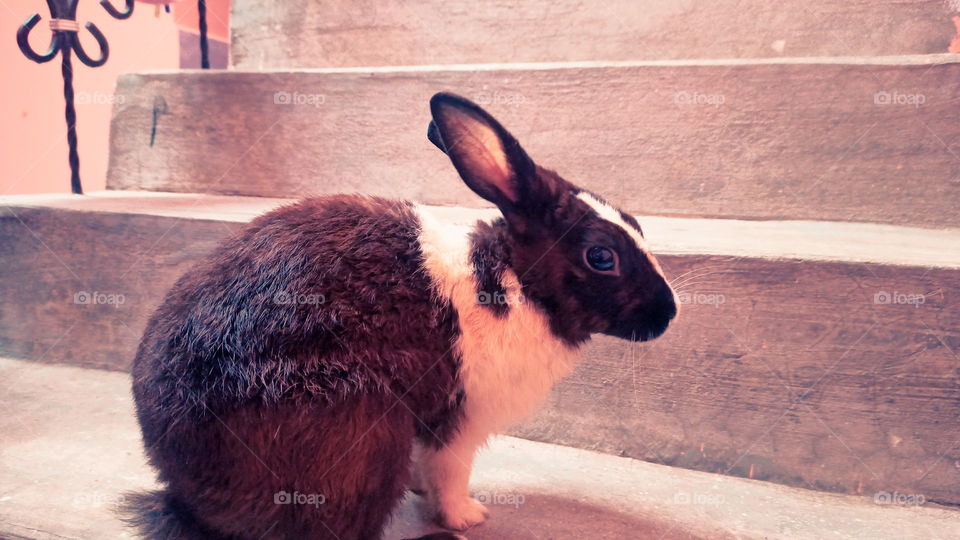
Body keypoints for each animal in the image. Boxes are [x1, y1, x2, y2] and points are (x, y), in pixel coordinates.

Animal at [125, 92, 677, 540]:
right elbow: (450, 473)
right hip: (361, 427)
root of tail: (187, 500)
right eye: (601, 257)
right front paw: (468, 517)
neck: (516, 280)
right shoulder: (460, 417)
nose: (669, 313)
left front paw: (424, 494)